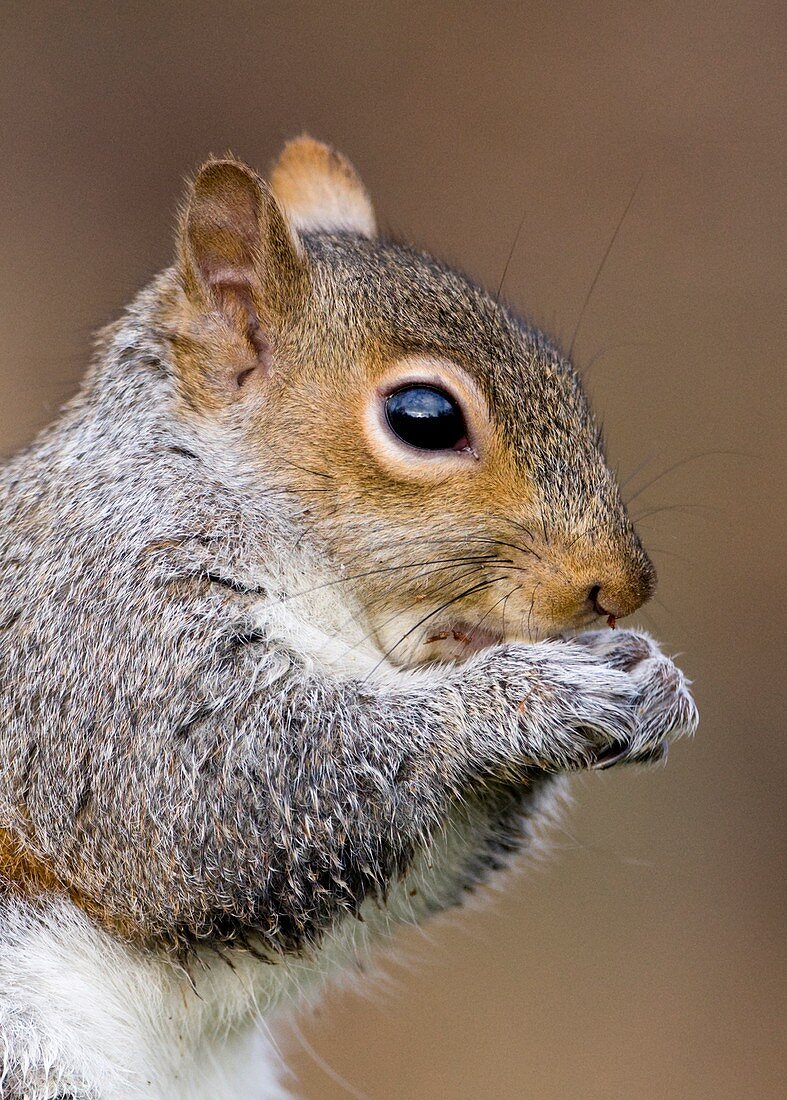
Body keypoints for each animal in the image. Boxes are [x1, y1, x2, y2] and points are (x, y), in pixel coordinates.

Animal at [0, 139, 695, 1100]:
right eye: (424, 418)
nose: (621, 586)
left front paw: (649, 674)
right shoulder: (99, 643)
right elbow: (216, 799)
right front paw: (534, 695)